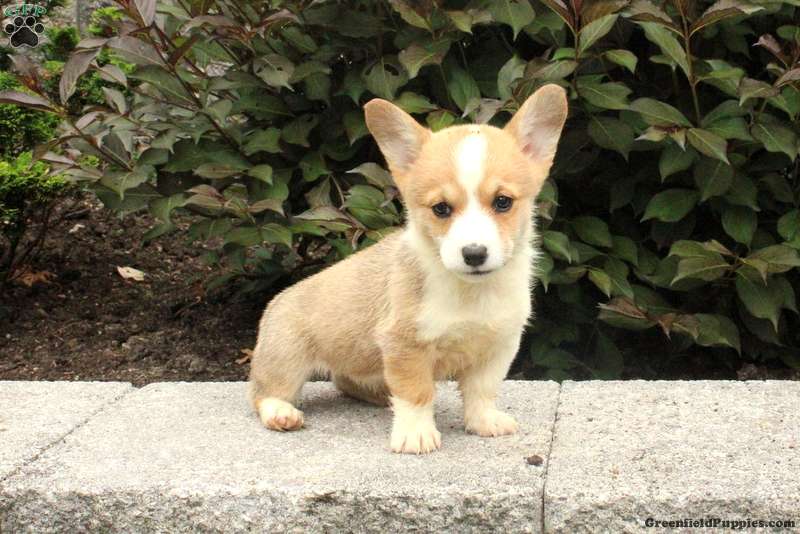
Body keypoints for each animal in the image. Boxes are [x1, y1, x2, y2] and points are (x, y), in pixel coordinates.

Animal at [250, 84, 568, 456]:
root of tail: (277, 300)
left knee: (347, 381)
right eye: (441, 209)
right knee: (264, 392)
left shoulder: (499, 345)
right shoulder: (404, 346)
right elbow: (416, 392)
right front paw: (416, 434)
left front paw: (483, 422)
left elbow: (482, 390)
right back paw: (281, 413)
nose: (474, 254)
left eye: (503, 202)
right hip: (285, 357)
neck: (470, 292)